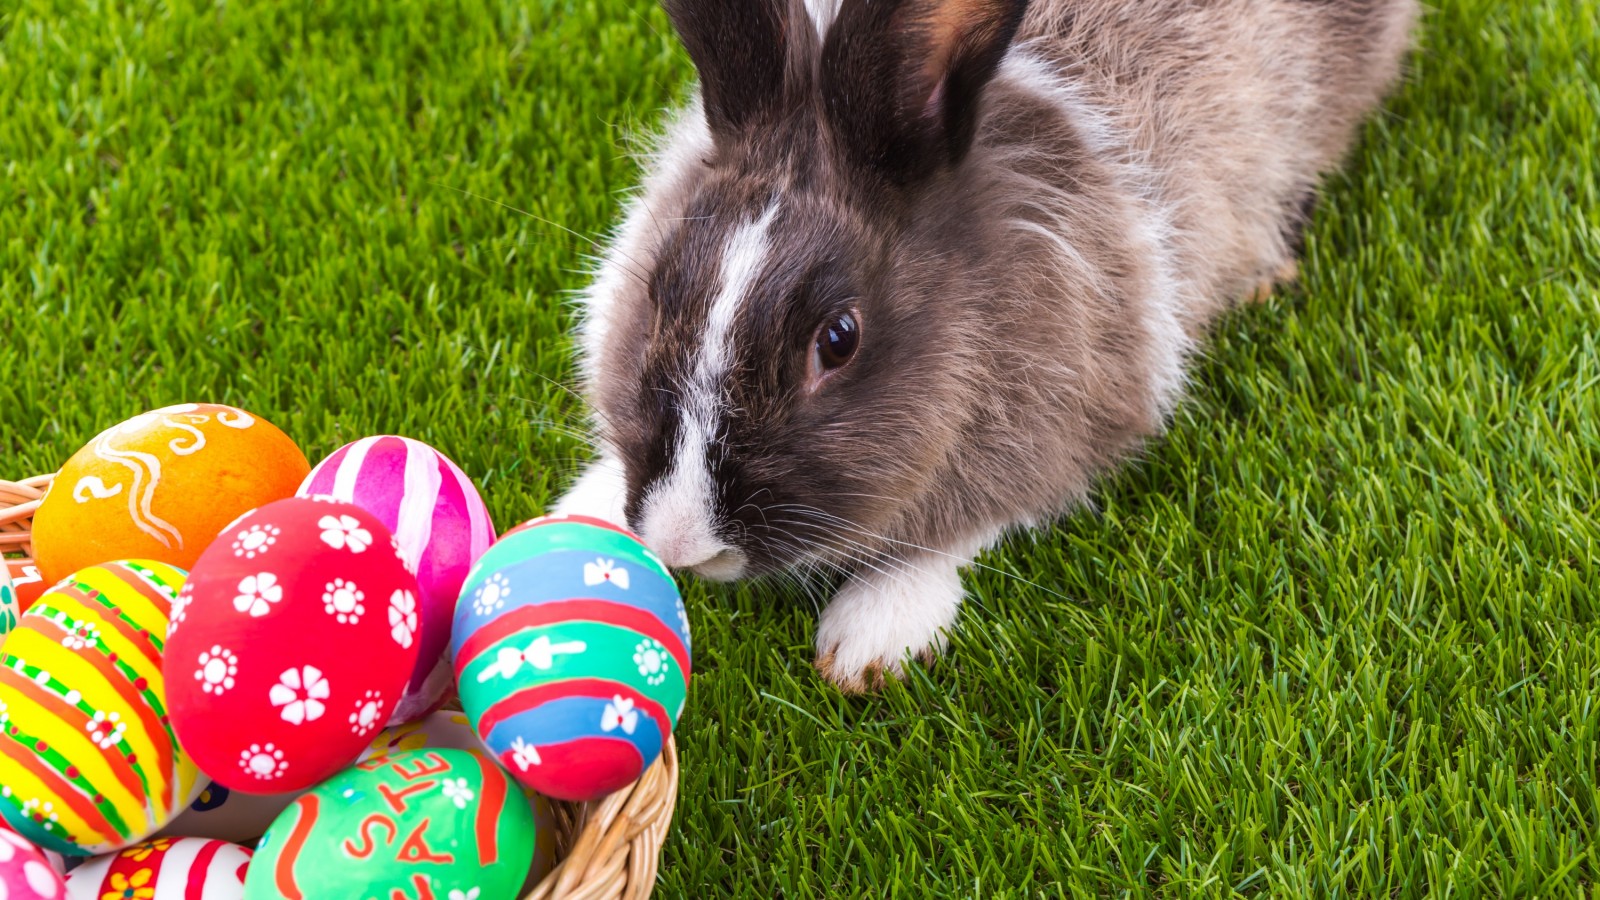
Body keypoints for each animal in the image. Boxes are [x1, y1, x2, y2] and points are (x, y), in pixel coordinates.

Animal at [556, 0, 1420, 688]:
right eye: (660, 284)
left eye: (838, 340)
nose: (679, 541)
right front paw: (582, 510)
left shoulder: (1074, 414)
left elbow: (969, 523)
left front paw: (873, 636)